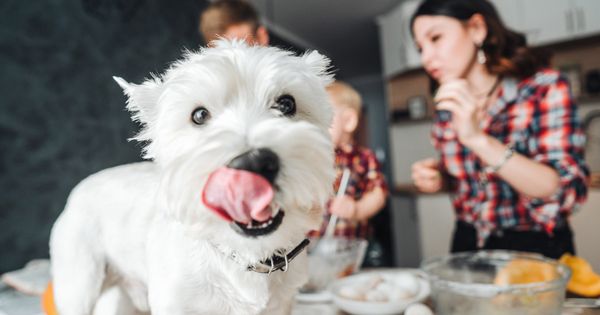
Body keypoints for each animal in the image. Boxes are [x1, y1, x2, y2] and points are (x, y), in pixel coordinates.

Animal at [49, 39, 336, 315]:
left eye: (287, 104)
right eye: (199, 115)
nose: (253, 162)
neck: (244, 255)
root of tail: (79, 189)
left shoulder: (282, 304)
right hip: (79, 283)